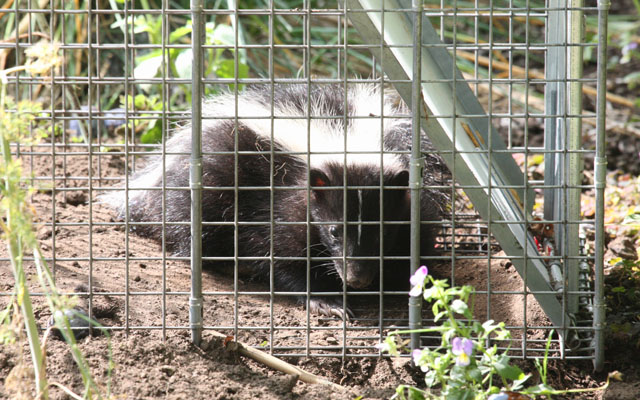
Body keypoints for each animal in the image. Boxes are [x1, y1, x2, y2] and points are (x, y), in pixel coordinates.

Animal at [102, 83, 448, 318]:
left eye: (383, 232)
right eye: (334, 231)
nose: (357, 279)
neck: (346, 139)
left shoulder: (410, 197)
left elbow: (417, 240)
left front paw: (411, 282)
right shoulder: (284, 200)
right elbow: (280, 251)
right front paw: (326, 301)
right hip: (212, 175)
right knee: (192, 222)